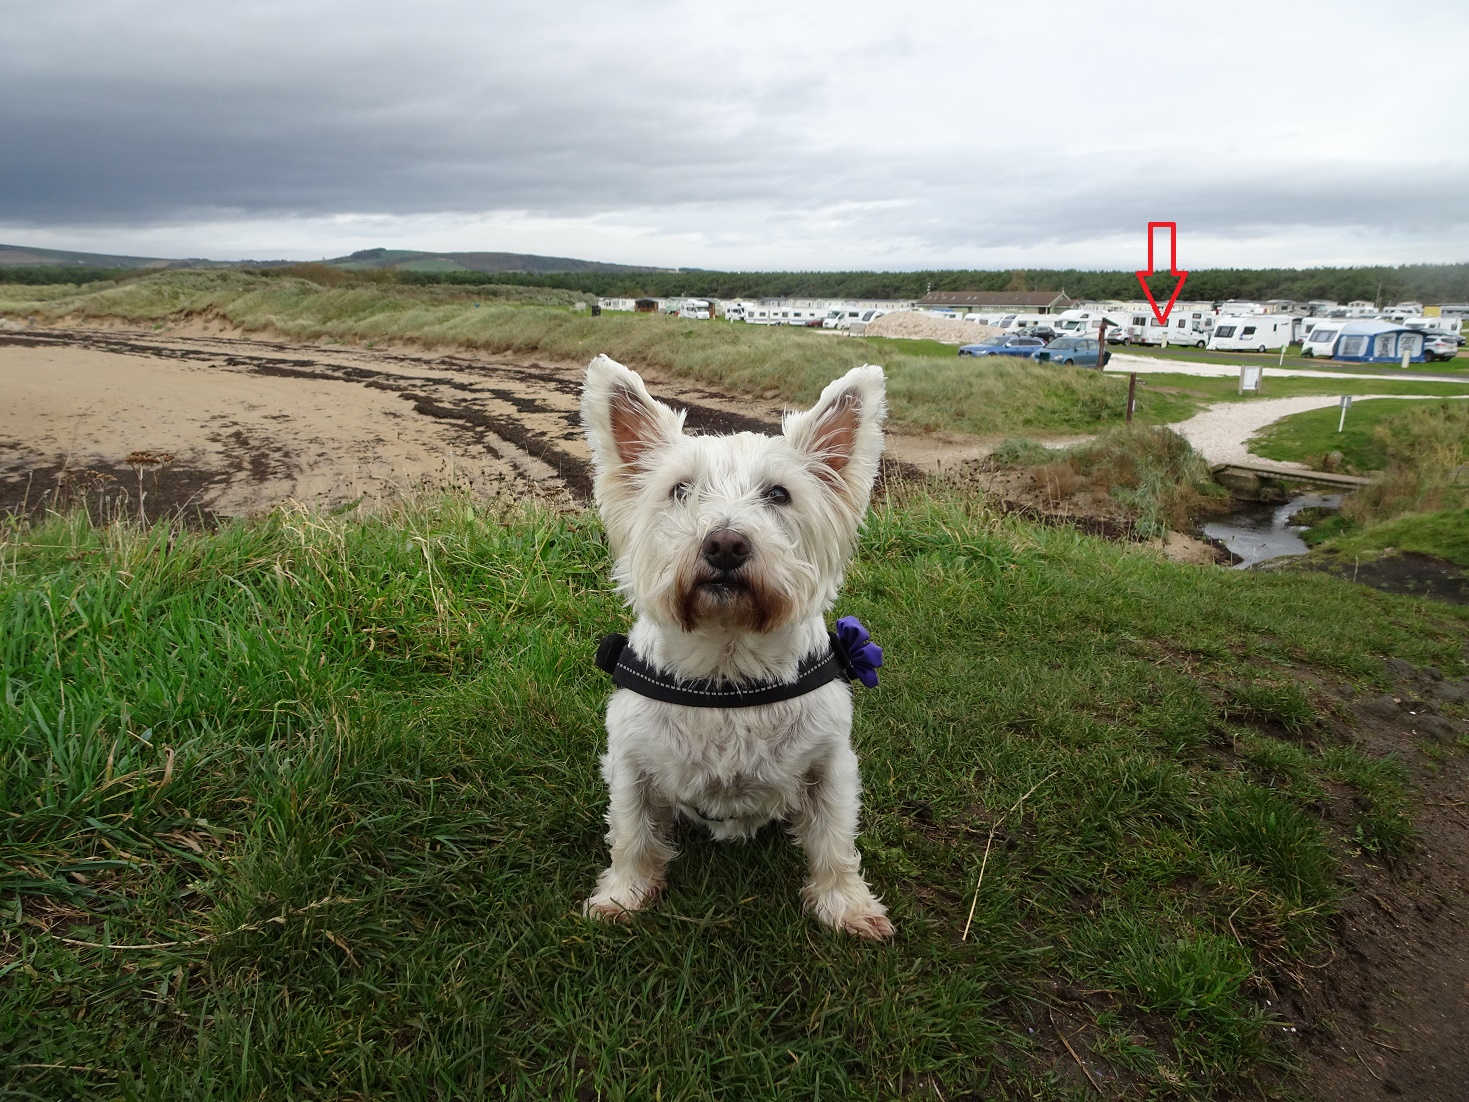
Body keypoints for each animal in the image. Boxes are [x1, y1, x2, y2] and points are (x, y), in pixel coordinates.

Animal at [578, 354, 887, 940]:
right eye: (679, 489)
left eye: (779, 494)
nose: (725, 543)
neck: (727, 663)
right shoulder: (630, 761)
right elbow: (631, 834)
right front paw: (623, 895)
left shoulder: (830, 764)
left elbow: (834, 840)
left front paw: (847, 906)